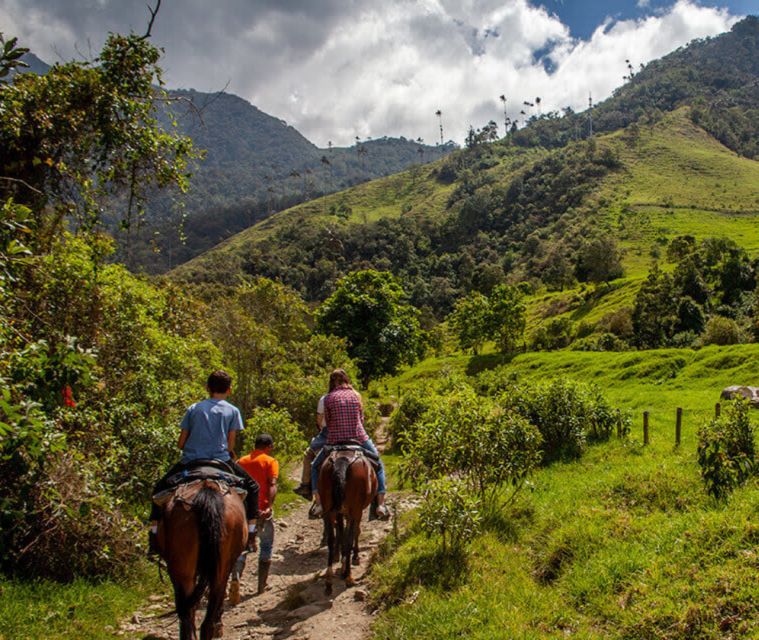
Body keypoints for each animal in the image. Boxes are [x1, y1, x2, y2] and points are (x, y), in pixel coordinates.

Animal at [318, 450, 378, 596]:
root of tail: (342, 459)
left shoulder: (341, 513)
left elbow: (342, 535)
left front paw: (343, 563)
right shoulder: (355, 512)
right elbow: (353, 533)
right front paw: (354, 558)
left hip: (329, 509)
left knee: (331, 539)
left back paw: (329, 581)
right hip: (355, 509)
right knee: (350, 536)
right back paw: (349, 578)